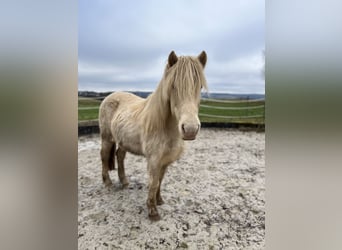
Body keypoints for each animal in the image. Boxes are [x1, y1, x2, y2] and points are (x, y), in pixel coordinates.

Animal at [97, 51, 207, 221]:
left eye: (200, 86)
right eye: (173, 86)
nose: (190, 129)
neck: (166, 129)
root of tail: (110, 96)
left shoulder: (166, 160)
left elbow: (160, 180)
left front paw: (159, 200)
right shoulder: (154, 160)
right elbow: (154, 182)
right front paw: (153, 211)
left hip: (123, 141)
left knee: (119, 156)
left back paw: (124, 182)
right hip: (106, 138)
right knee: (104, 156)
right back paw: (108, 183)